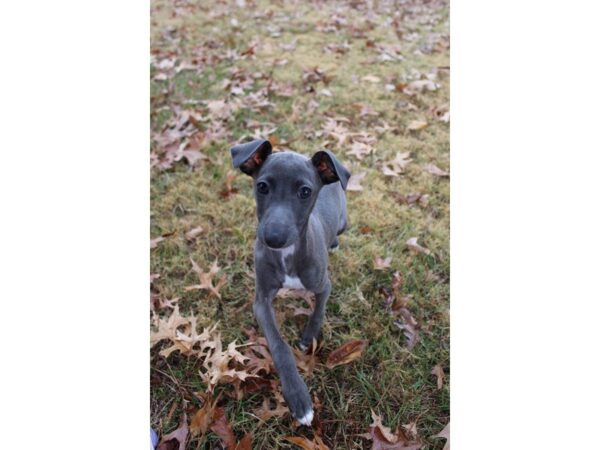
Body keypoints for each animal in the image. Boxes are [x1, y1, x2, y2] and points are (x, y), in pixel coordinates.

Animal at [230, 140, 352, 426]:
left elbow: (318, 312)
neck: (288, 254)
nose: (273, 237)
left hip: (343, 223)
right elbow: (279, 345)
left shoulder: (324, 285)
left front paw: (308, 338)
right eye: (262, 186)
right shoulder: (261, 300)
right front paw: (298, 396)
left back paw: (335, 243)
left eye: (305, 191)